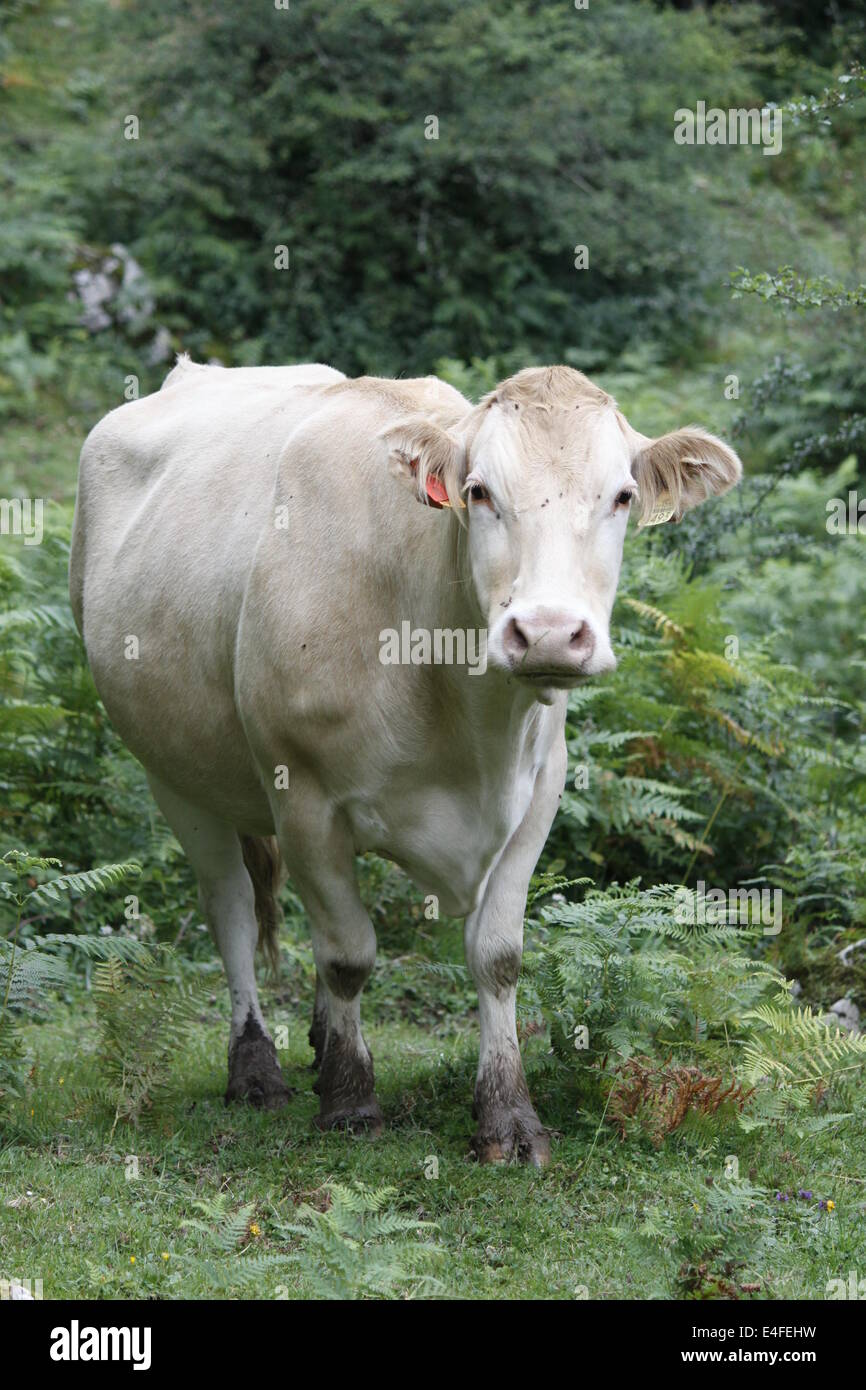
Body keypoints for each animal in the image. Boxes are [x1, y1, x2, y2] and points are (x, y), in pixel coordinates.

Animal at [69, 359, 741, 1165]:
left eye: (622, 496)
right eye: (479, 491)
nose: (549, 633)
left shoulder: (538, 794)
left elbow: (496, 955)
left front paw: (508, 1117)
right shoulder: (305, 797)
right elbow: (349, 955)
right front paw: (351, 1103)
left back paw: (321, 1042)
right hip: (172, 772)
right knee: (232, 905)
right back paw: (256, 1068)